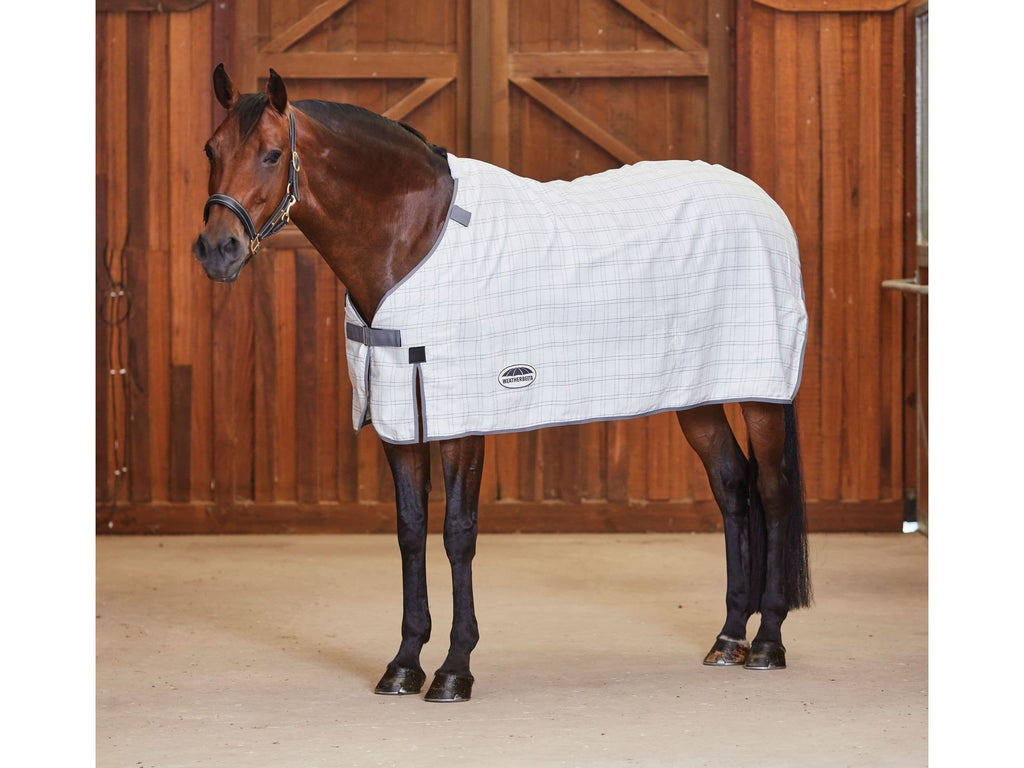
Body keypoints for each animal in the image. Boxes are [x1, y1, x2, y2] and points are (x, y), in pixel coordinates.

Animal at [195, 65, 812, 703]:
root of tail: (764, 203)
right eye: (211, 150)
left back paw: (767, 642)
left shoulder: (463, 421)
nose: (217, 250)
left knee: (771, 489)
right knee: (731, 486)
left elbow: (457, 533)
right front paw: (404, 664)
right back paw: (729, 638)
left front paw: (453, 669)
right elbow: (410, 531)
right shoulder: (399, 418)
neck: (413, 240)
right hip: (697, 395)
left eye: (271, 154)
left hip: (760, 393)